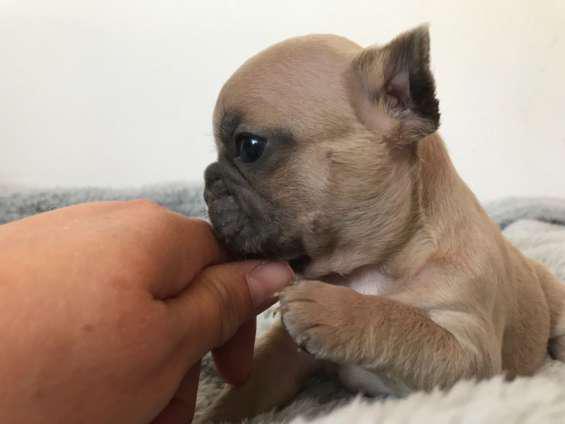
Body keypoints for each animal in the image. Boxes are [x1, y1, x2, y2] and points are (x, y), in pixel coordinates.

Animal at [200, 25, 560, 420]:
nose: (208, 181)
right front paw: (215, 415)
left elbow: (406, 323)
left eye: (250, 146)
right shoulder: (285, 355)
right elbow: (252, 386)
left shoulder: (470, 359)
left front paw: (335, 309)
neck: (376, 264)